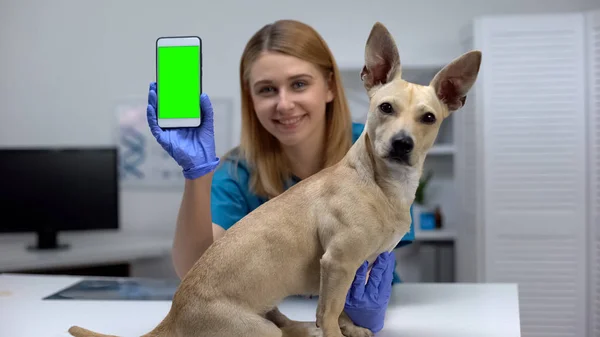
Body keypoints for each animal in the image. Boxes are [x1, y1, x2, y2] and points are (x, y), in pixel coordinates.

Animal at [67, 21, 478, 336]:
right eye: (385, 108)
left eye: (429, 118)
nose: (402, 144)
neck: (378, 183)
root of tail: (174, 314)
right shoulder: (338, 262)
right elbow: (330, 311)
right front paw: (336, 333)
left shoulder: (353, 269)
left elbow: (344, 307)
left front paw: (353, 327)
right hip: (257, 330)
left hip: (269, 312)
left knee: (289, 324)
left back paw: (302, 327)